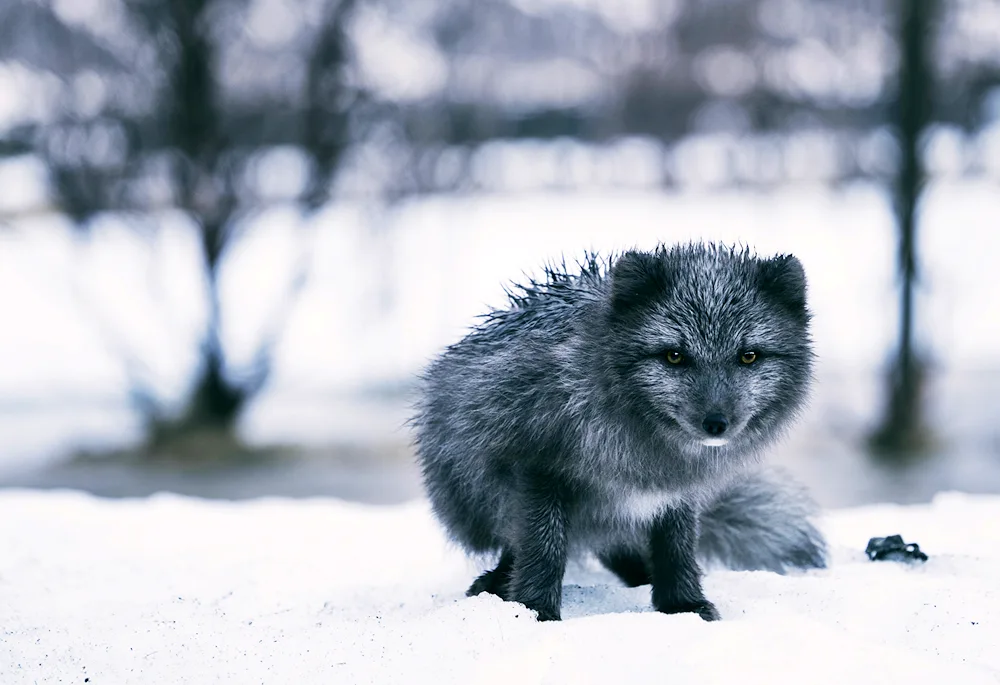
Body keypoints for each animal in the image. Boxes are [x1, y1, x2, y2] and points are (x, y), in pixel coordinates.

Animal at [410, 244, 824, 620]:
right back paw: (495, 584)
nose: (716, 423)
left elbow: (676, 550)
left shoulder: (675, 493)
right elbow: (543, 549)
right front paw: (534, 612)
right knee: (519, 546)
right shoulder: (535, 467)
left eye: (748, 356)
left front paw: (683, 606)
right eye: (674, 356)